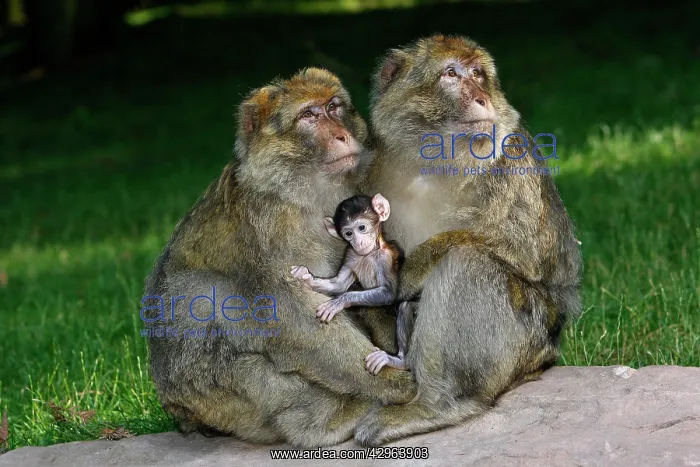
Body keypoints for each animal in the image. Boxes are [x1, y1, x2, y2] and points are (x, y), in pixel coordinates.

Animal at [289, 193, 413, 374]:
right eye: (348, 233)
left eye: (361, 228)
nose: (358, 242)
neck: (369, 254)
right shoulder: (350, 254)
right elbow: (339, 285)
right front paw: (305, 276)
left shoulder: (385, 258)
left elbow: (388, 293)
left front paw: (339, 302)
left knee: (404, 306)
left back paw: (400, 361)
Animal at [355, 34, 583, 446]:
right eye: (451, 73)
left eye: (478, 73)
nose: (481, 97)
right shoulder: (366, 169)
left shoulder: (511, 160)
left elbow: (526, 252)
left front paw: (408, 272)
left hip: (525, 342)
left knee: (468, 262)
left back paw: (437, 404)